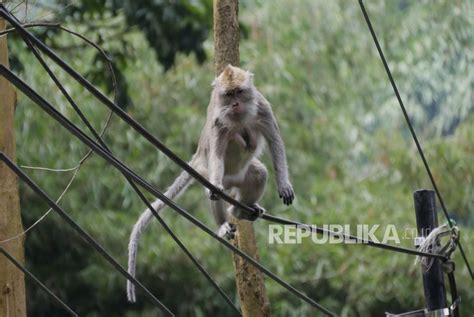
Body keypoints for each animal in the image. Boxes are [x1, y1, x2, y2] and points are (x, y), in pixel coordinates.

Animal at [128, 65, 294, 302]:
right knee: (215, 189)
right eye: (229, 95)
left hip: (240, 176)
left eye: (239, 92)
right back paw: (223, 222)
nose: (235, 104)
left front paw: (284, 184)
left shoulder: (263, 107)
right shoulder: (218, 120)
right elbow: (216, 152)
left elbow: (275, 141)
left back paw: (240, 210)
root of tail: (197, 156)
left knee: (258, 173)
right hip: (206, 169)